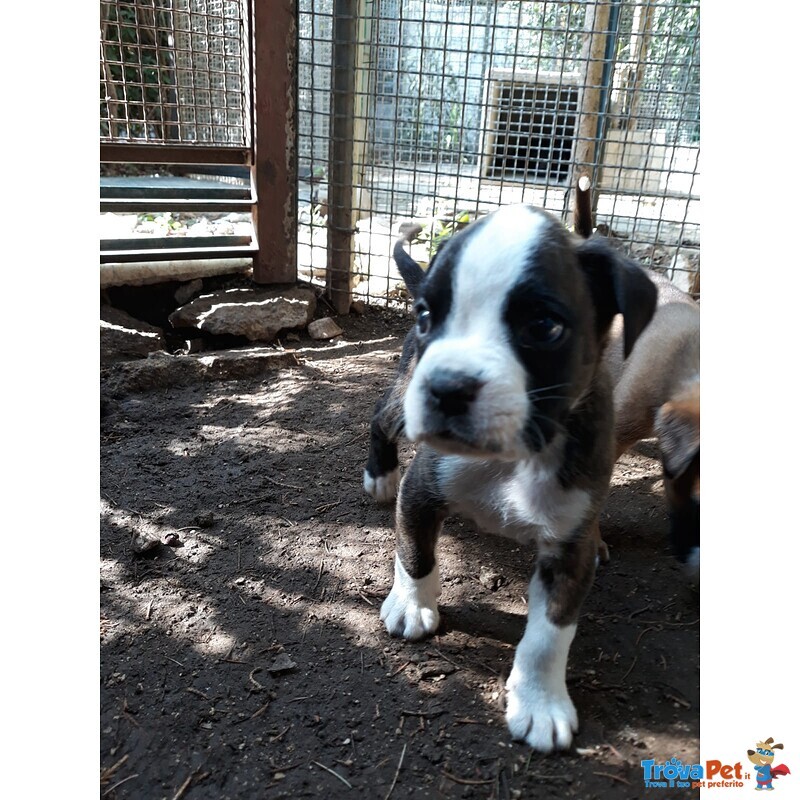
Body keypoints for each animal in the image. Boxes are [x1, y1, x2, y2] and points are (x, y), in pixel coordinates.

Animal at [362, 205, 656, 752]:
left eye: (543, 326)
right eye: (427, 315)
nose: (447, 386)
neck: (514, 457)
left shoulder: (569, 549)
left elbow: (549, 634)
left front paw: (540, 702)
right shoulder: (421, 490)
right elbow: (415, 556)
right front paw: (411, 606)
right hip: (402, 399)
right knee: (379, 416)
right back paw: (379, 473)